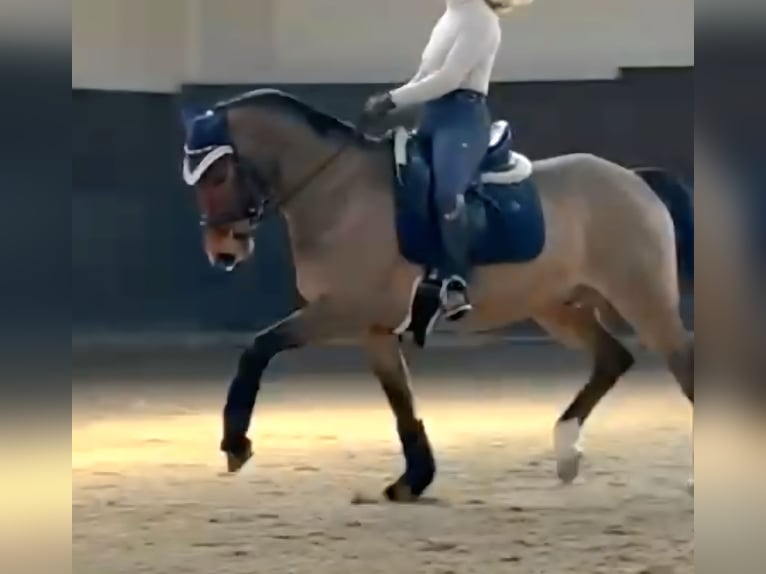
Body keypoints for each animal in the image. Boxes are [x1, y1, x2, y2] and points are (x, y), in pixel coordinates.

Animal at [180, 88, 694, 501]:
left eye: (218, 174)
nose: (222, 250)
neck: (337, 193)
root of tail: (634, 179)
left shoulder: (342, 310)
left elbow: (259, 347)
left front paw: (235, 444)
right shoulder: (375, 328)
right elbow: (401, 403)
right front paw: (413, 480)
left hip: (643, 299)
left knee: (678, 361)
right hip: (558, 306)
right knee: (612, 358)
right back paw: (566, 452)